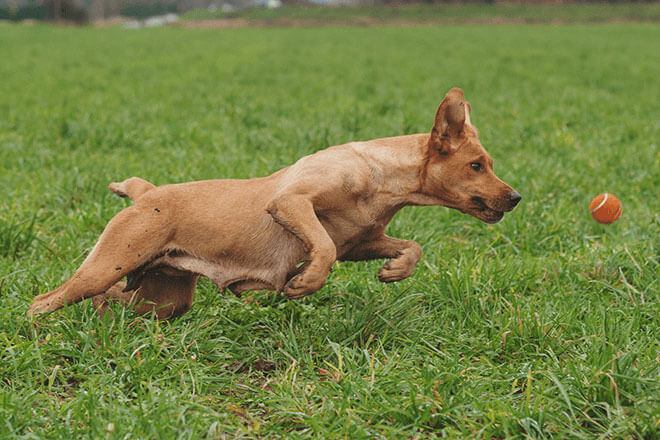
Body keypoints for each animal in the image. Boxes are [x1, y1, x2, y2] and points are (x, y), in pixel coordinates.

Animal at [25, 88, 520, 320]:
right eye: (477, 165)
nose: (515, 197)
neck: (381, 177)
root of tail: (148, 193)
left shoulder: (363, 241)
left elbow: (409, 247)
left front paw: (395, 271)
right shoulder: (292, 203)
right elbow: (322, 247)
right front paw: (303, 283)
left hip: (162, 294)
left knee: (111, 301)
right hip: (112, 262)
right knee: (44, 301)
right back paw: (37, 335)